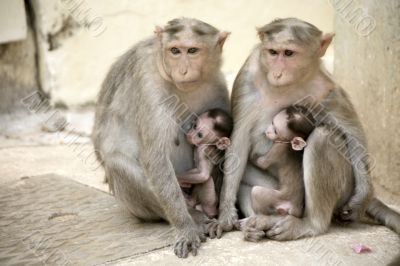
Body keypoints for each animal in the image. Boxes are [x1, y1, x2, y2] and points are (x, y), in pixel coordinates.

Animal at [92, 18, 230, 258]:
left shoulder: (218, 85)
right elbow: (155, 159)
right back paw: (195, 218)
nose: (183, 70)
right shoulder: (148, 83)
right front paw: (185, 228)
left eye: (192, 50)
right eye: (175, 51)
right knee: (118, 163)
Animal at [209, 17, 400, 240]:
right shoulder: (249, 75)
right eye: (273, 52)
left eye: (288, 53)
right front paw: (225, 217)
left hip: (344, 186)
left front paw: (363, 194)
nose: (277, 73)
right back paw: (258, 222)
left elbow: (351, 130)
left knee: (323, 136)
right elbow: (239, 141)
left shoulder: (325, 85)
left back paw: (311, 224)